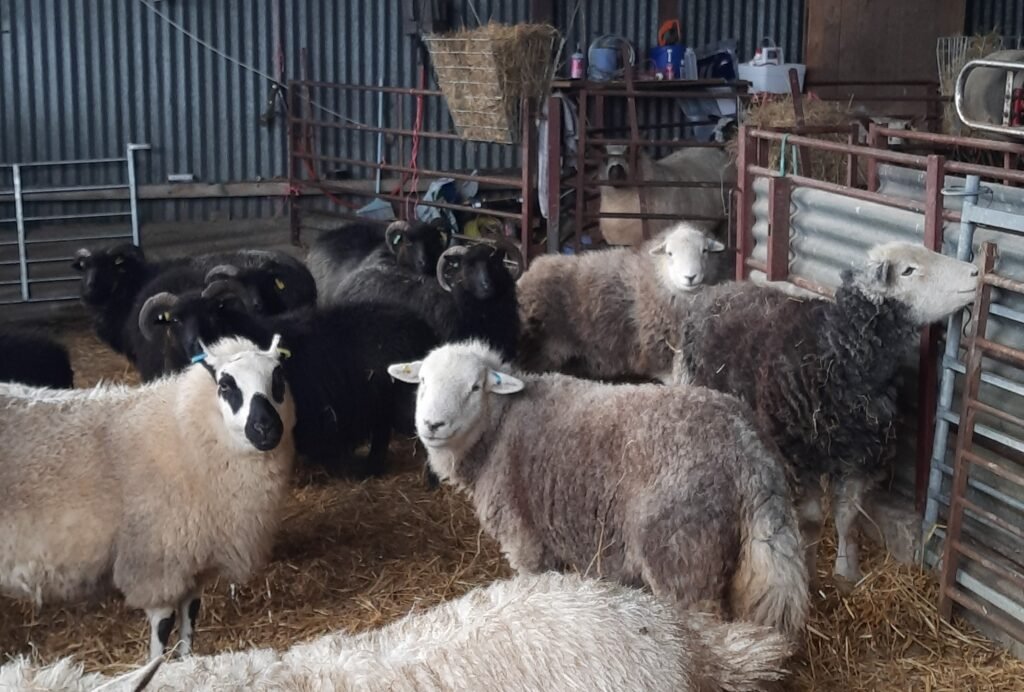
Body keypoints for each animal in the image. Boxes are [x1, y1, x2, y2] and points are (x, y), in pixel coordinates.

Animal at [0, 335, 296, 660]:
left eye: (278, 377)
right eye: (226, 385)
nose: (266, 427)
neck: (184, 432)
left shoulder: (191, 565)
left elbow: (190, 619)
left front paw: (186, 661)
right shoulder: (157, 565)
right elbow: (163, 627)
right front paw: (157, 664)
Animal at [138, 283, 439, 477]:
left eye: (213, 313)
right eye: (175, 321)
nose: (195, 346)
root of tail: (422, 325)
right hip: (378, 402)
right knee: (381, 432)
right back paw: (371, 468)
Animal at [388, 340, 809, 636]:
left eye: (475, 387)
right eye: (422, 381)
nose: (432, 425)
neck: (499, 428)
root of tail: (747, 452)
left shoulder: (525, 540)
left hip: (684, 554)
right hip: (750, 559)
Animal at [670, 242, 980, 584]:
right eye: (908, 270)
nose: (976, 272)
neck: (834, 353)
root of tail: (721, 288)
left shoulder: (859, 455)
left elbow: (847, 518)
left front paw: (846, 571)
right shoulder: (796, 456)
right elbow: (812, 522)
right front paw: (809, 569)